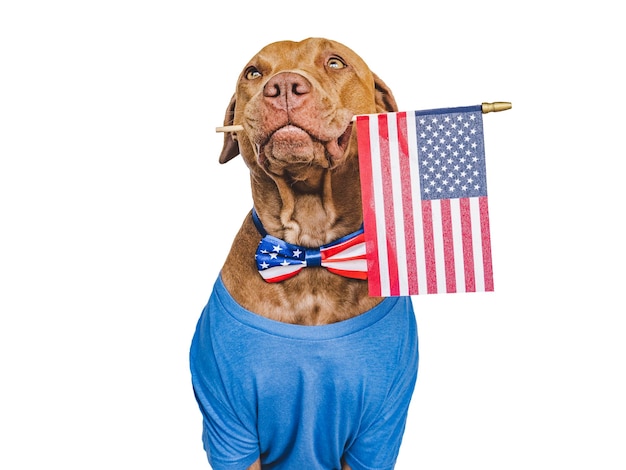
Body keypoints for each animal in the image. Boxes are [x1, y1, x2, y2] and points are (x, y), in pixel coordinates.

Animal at [188, 37, 416, 470]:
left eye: (335, 62)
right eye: (253, 72)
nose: (283, 87)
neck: (311, 253)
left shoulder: (377, 434)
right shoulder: (230, 431)